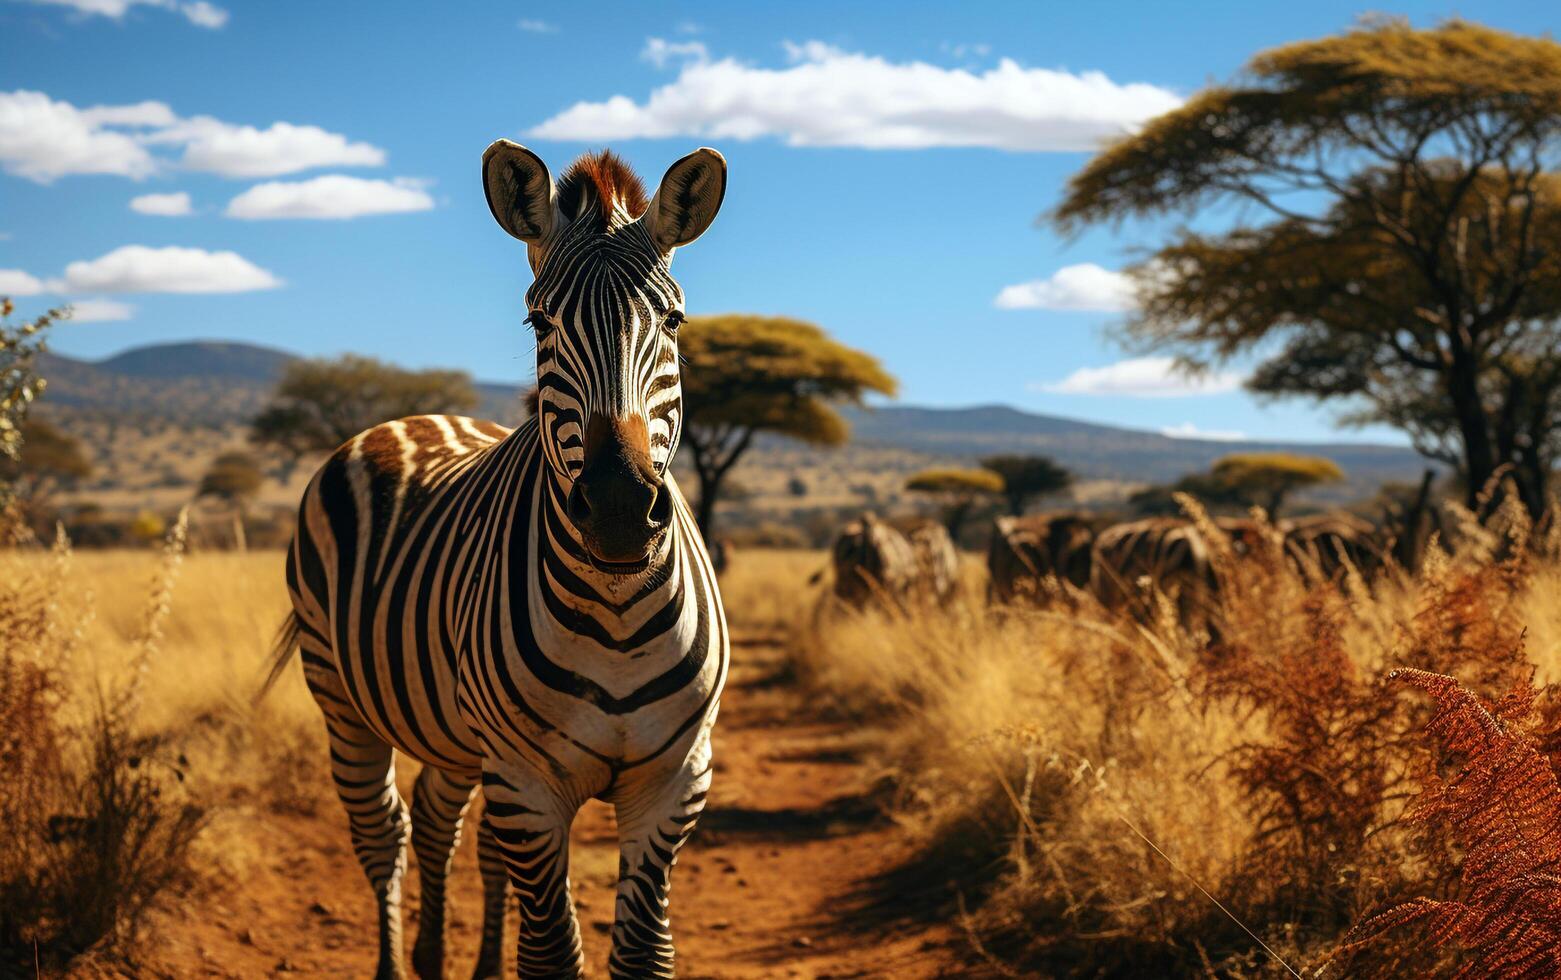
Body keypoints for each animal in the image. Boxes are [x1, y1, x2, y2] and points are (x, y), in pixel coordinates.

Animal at [265, 139, 727, 980]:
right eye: (538, 320)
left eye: (674, 319)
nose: (618, 512)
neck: (616, 612)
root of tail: (411, 416)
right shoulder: (527, 783)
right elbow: (550, 955)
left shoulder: (674, 782)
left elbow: (643, 955)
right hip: (342, 700)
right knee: (383, 833)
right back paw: (397, 961)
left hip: (453, 728)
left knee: (442, 820)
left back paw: (447, 956)